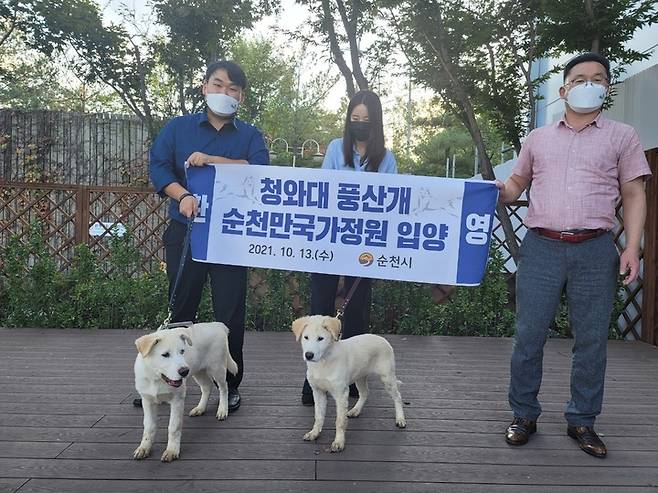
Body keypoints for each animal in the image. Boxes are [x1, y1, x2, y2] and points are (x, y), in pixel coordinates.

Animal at [132, 322, 237, 462]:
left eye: (182, 351)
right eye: (165, 355)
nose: (184, 371)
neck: (157, 379)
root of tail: (218, 325)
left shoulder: (177, 400)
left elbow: (174, 426)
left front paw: (172, 450)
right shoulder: (147, 401)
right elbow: (149, 426)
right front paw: (144, 448)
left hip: (217, 368)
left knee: (223, 387)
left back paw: (222, 410)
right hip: (198, 371)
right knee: (207, 387)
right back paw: (200, 408)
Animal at [290, 316, 404, 450]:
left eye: (320, 338)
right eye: (306, 337)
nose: (308, 355)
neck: (323, 362)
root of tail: (383, 339)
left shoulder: (341, 393)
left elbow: (340, 421)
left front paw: (339, 442)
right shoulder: (318, 392)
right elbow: (318, 415)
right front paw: (314, 433)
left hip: (387, 378)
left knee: (397, 396)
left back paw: (400, 419)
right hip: (360, 376)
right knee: (365, 393)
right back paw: (355, 410)